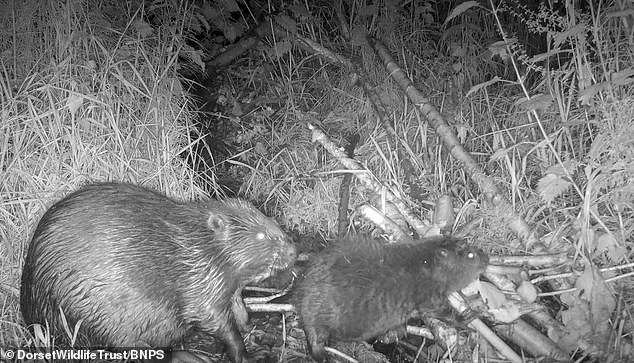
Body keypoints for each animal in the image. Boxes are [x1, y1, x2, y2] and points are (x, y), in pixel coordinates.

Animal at [19, 183, 296, 362]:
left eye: (272, 222)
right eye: (261, 235)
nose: (293, 252)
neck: (200, 245)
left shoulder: (223, 283)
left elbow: (238, 308)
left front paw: (254, 328)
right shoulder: (200, 280)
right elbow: (215, 320)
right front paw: (251, 354)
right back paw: (190, 357)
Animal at [294, 236, 486, 362]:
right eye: (470, 255)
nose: (487, 256)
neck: (423, 265)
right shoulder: (427, 292)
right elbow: (437, 310)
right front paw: (467, 316)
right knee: (315, 335)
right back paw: (325, 356)